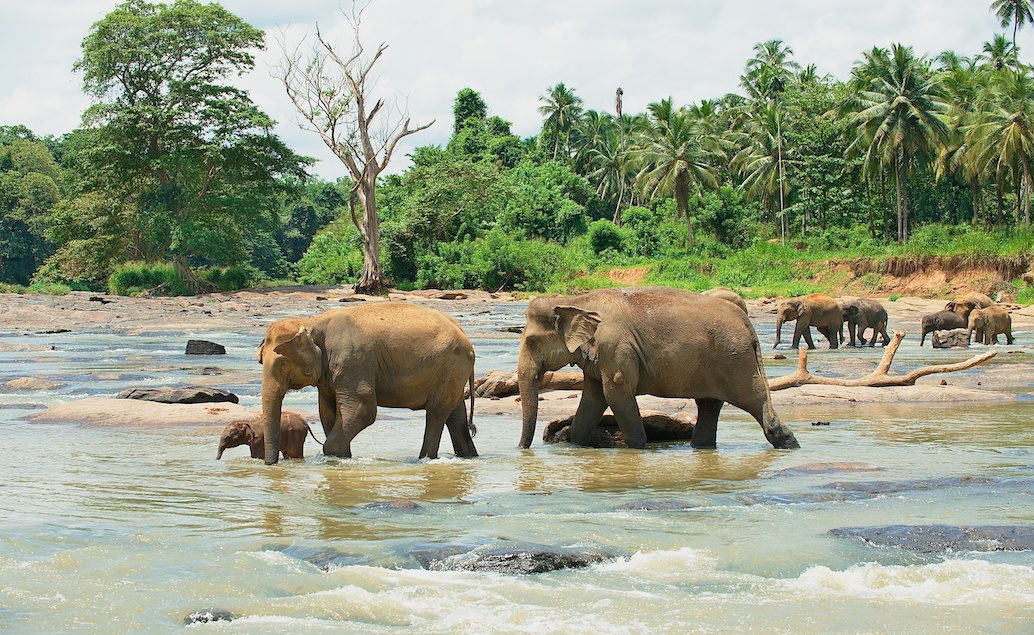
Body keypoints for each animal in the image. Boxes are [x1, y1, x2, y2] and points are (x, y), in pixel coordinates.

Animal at [256, 306, 477, 465]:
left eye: (281, 364)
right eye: (260, 361)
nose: (271, 465)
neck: (312, 322)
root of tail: (466, 337)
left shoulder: (352, 361)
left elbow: (363, 409)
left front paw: (335, 455)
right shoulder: (328, 376)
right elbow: (327, 413)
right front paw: (343, 457)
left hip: (450, 368)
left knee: (436, 412)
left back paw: (424, 459)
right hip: (452, 374)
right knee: (455, 414)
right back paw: (469, 456)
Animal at [517, 289, 798, 452]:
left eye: (531, 341)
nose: (521, 450)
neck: (574, 301)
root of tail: (747, 324)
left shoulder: (614, 347)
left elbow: (616, 393)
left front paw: (637, 449)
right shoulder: (599, 354)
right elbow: (594, 398)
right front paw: (576, 444)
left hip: (735, 361)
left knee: (753, 397)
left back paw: (788, 443)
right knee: (709, 404)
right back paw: (701, 447)